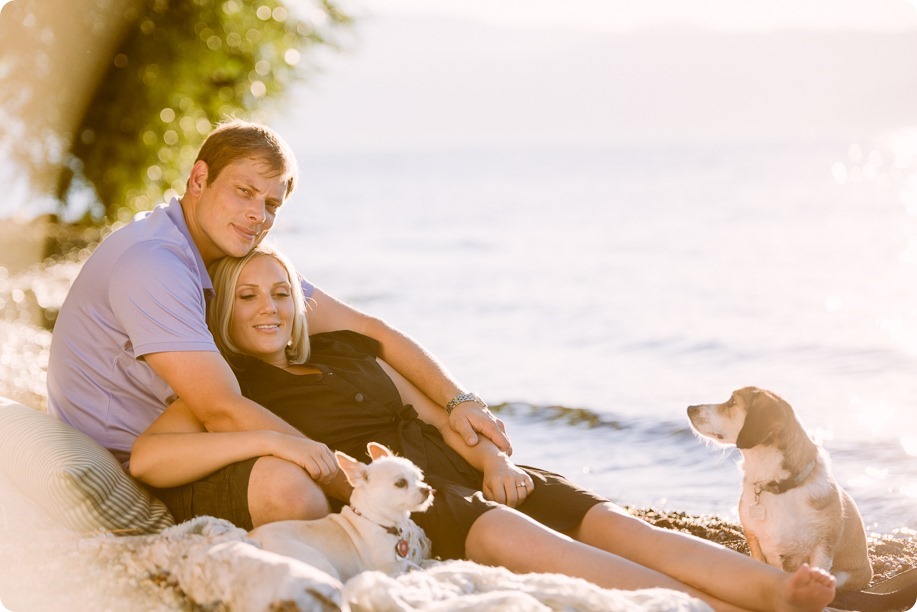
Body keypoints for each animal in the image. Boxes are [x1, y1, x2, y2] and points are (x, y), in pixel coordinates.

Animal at [249, 442, 434, 580]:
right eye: (401, 483)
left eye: (419, 477)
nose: (427, 490)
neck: (376, 522)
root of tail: (248, 540)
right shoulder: (392, 571)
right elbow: (414, 569)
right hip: (320, 565)